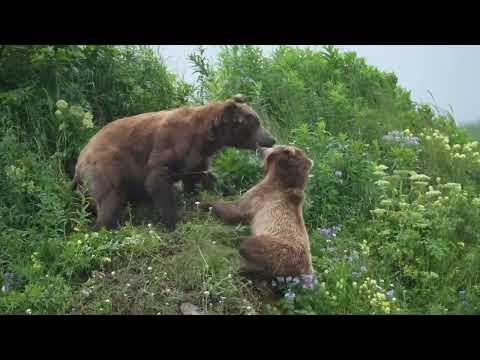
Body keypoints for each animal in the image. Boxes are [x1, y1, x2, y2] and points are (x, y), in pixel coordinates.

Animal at [73, 95, 276, 231]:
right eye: (256, 122)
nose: (271, 139)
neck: (205, 137)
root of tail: (79, 160)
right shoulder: (170, 145)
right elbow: (157, 180)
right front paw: (173, 221)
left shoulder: (196, 157)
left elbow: (199, 176)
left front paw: (216, 190)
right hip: (107, 168)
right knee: (110, 199)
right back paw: (107, 226)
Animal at [202, 145, 316, 280]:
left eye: (274, 147)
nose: (261, 148)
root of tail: (305, 270)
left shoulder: (260, 197)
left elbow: (236, 210)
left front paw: (204, 204)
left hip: (278, 249)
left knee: (247, 246)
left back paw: (243, 267)